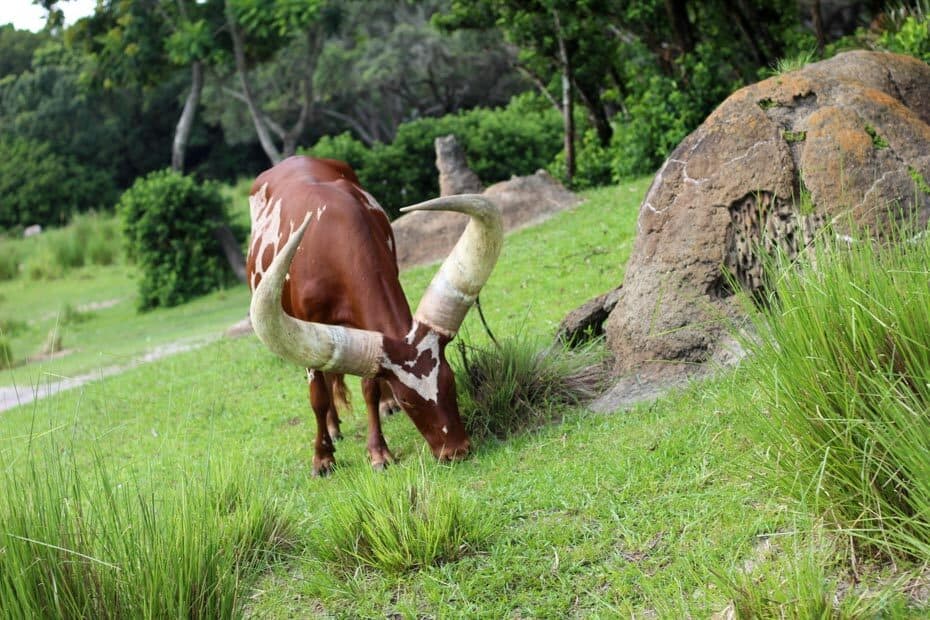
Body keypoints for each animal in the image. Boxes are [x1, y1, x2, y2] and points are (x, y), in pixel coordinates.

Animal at [246, 156, 500, 474]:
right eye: (408, 401)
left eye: (450, 380)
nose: (457, 450)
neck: (331, 237)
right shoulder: (304, 324)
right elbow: (317, 396)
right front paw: (322, 458)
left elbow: (370, 387)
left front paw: (379, 452)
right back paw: (332, 429)